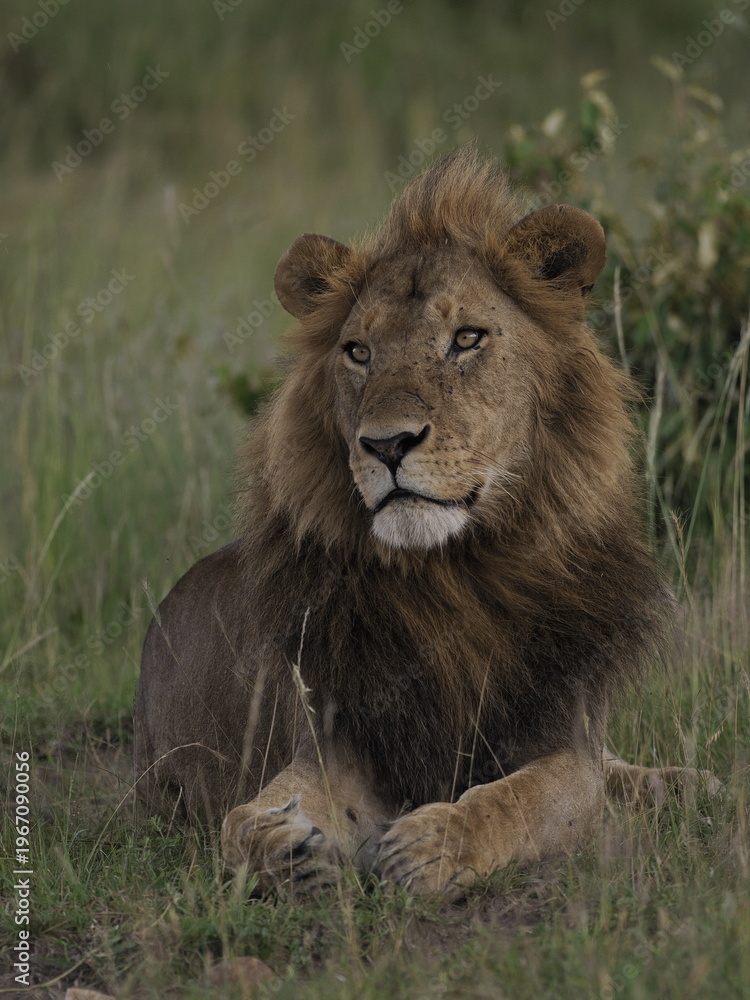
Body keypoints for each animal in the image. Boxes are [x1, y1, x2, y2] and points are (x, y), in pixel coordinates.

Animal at [134, 147, 719, 899]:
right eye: (358, 351)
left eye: (466, 338)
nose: (386, 444)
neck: (453, 577)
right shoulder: (335, 742)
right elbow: (245, 818)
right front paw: (287, 849)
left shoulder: (562, 738)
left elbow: (521, 797)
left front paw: (432, 844)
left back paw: (692, 785)